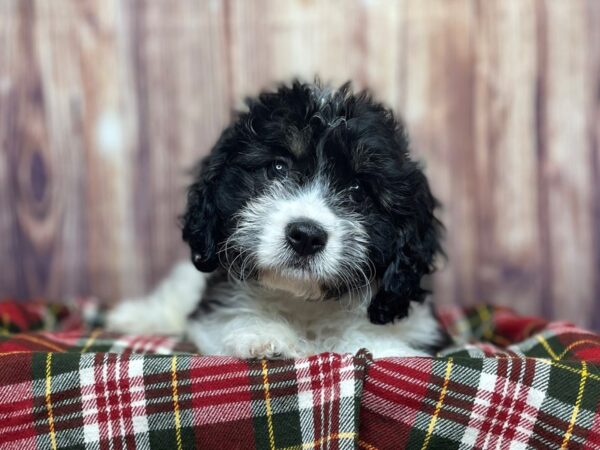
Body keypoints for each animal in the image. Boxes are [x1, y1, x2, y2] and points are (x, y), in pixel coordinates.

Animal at [106, 81, 450, 358]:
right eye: (278, 168)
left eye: (357, 190)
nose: (306, 236)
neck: (305, 301)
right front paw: (263, 336)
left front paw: (382, 348)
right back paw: (133, 315)